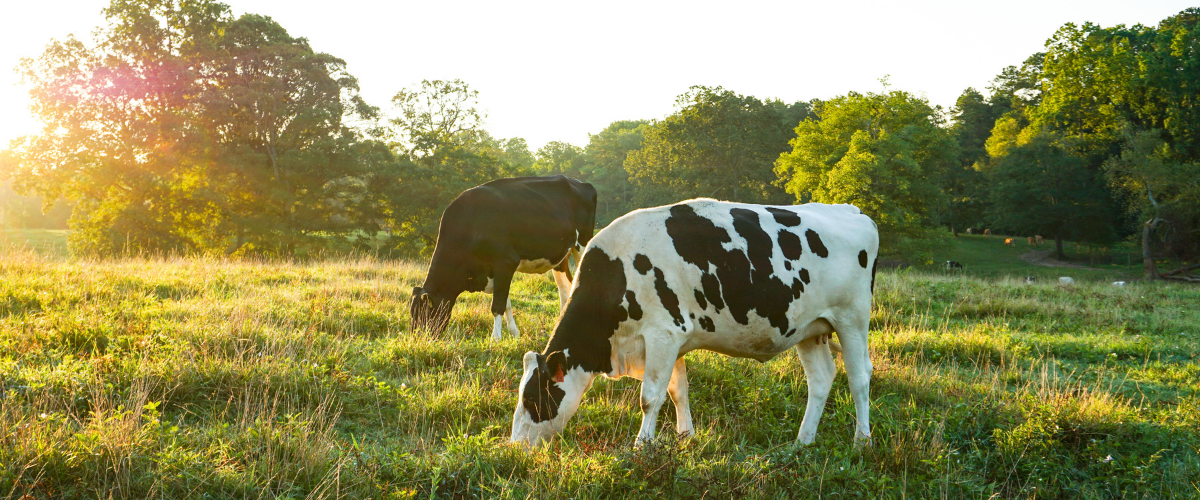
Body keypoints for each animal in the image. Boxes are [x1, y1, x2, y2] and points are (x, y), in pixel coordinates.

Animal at [410, 173, 597, 338]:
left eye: (424, 314)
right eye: (412, 314)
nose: (418, 340)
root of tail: (581, 183)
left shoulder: (506, 263)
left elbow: (497, 305)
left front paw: (496, 338)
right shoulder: (495, 272)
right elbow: (506, 302)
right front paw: (514, 333)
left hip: (583, 244)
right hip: (560, 256)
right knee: (566, 288)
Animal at [511, 200, 878, 448]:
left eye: (532, 399)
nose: (515, 447)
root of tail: (851, 211)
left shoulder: (661, 334)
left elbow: (650, 397)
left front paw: (641, 447)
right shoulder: (673, 340)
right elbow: (677, 390)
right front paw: (685, 435)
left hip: (852, 317)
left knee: (859, 377)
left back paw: (861, 440)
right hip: (810, 328)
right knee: (821, 379)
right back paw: (803, 441)